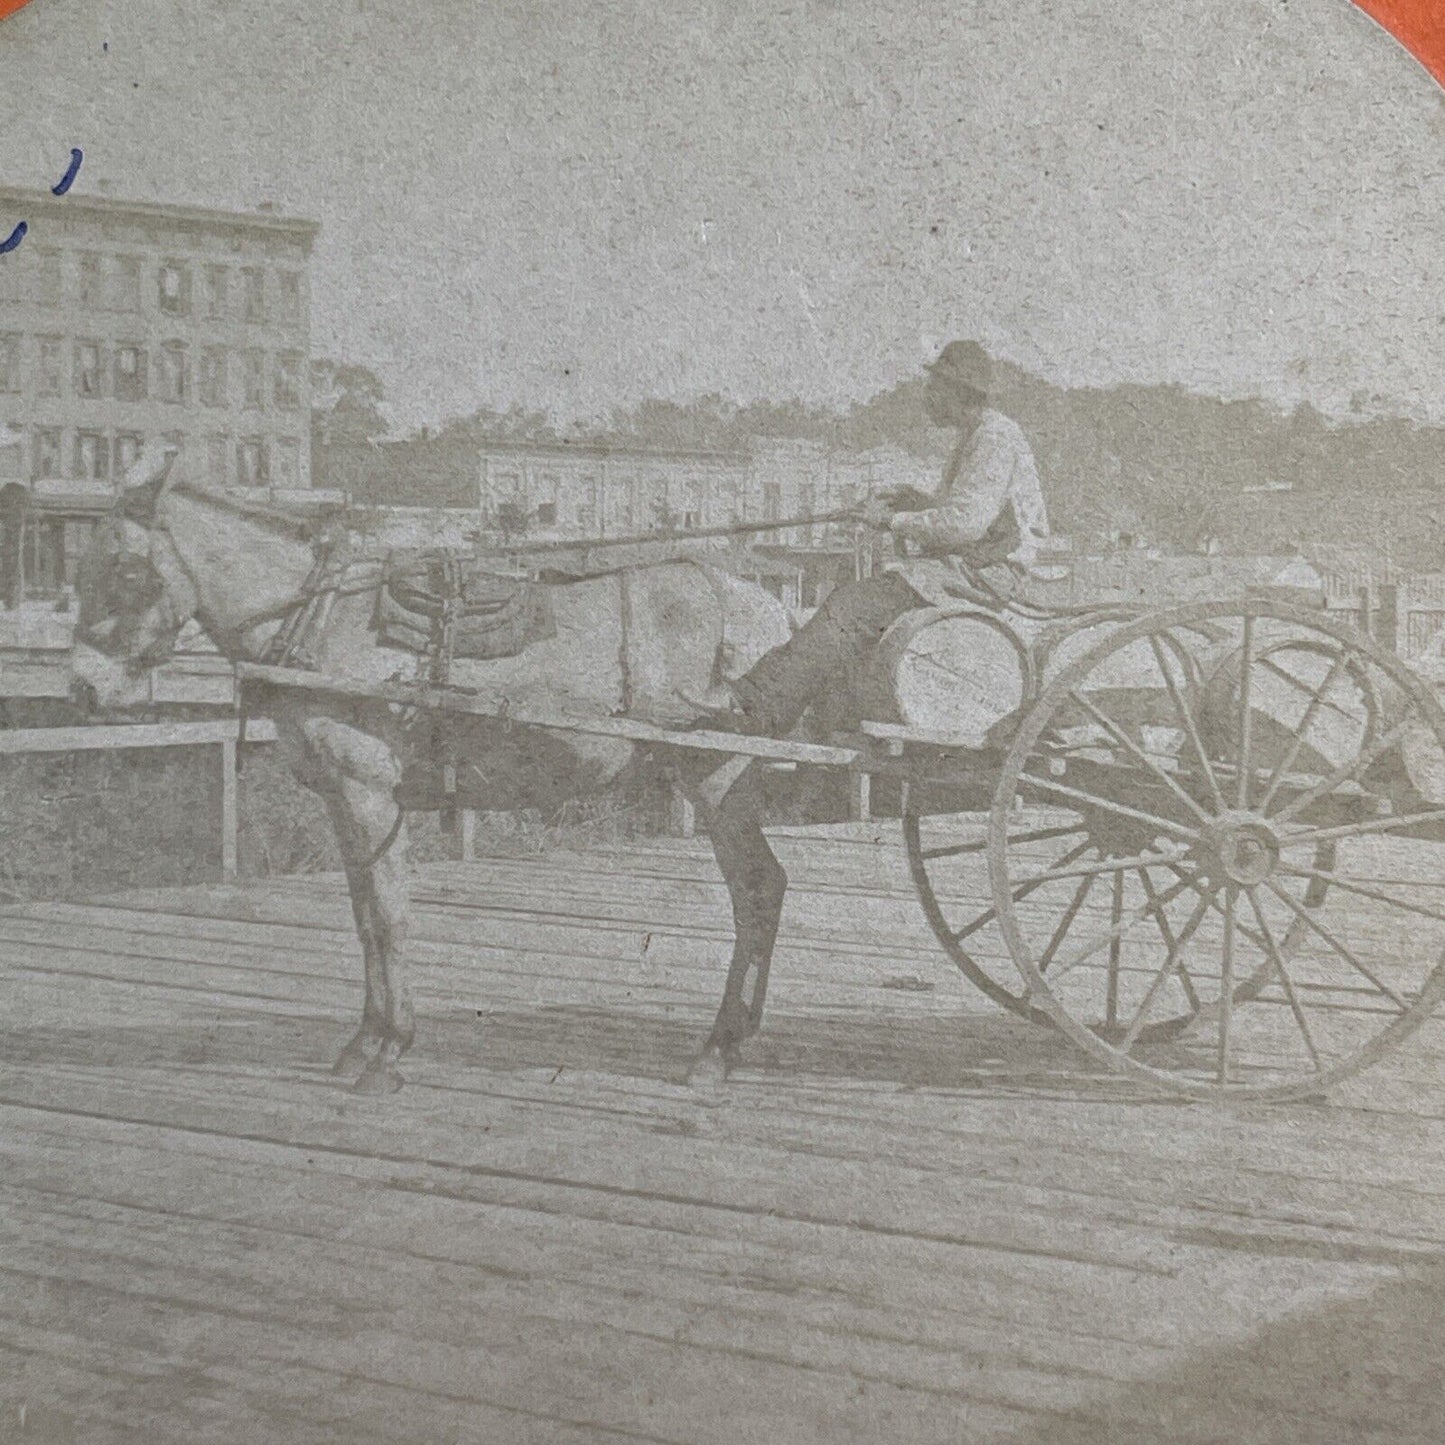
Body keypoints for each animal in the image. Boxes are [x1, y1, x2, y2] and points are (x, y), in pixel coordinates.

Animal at [73, 456, 797, 1086]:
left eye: (126, 570)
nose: (84, 686)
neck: (323, 619)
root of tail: (760, 601)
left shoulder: (370, 794)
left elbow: (389, 915)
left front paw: (389, 1048)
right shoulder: (342, 799)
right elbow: (364, 917)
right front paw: (364, 1040)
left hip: (718, 777)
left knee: (757, 887)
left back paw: (717, 1048)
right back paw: (728, 1042)